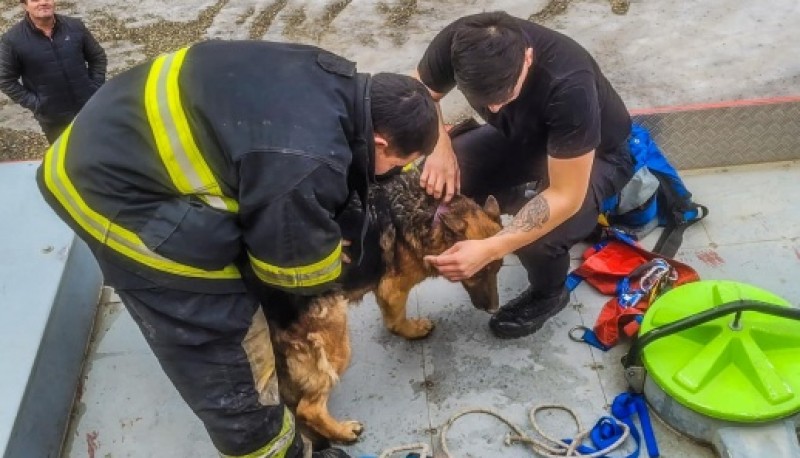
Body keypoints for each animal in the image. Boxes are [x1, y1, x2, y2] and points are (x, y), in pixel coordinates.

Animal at [266, 169, 504, 444]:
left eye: (497, 268)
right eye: (478, 272)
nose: (494, 309)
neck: (429, 213)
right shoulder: (392, 289)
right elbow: (396, 320)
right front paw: (412, 330)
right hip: (336, 337)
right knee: (308, 408)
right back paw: (343, 431)